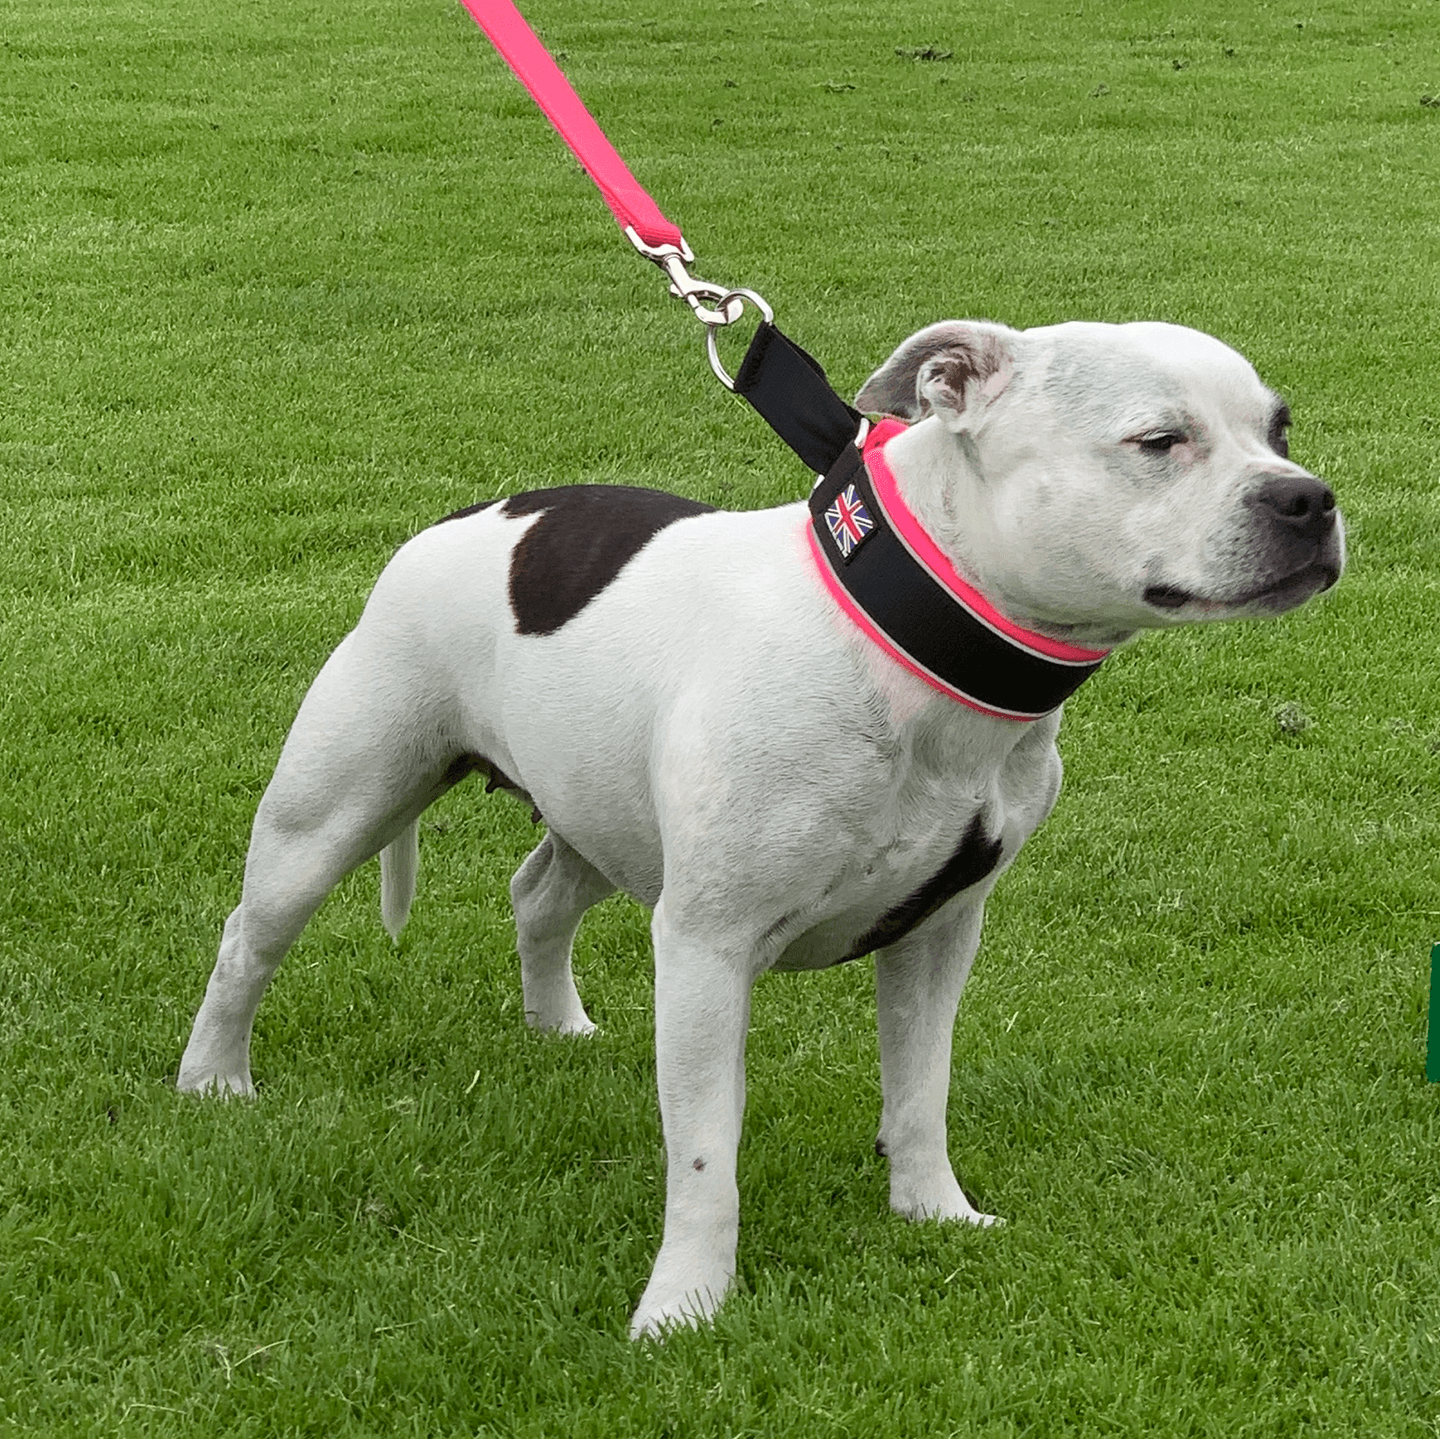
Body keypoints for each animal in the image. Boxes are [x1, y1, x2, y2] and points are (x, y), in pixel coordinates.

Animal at [177, 318, 1336, 1336]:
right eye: (1159, 441)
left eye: (1279, 431)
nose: (1310, 498)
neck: (908, 636)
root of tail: (459, 518)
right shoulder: (707, 946)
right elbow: (705, 1153)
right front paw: (684, 1305)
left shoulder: (937, 934)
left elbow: (921, 1090)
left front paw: (933, 1211)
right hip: (331, 809)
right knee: (249, 938)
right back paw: (214, 1082)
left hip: (598, 808)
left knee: (539, 894)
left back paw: (557, 1023)